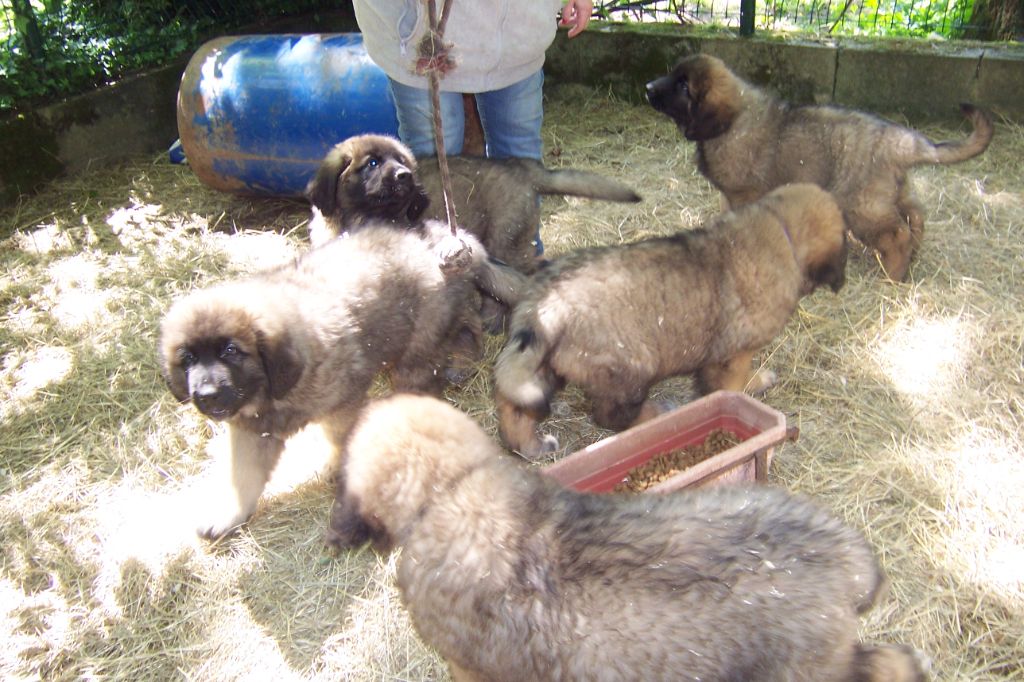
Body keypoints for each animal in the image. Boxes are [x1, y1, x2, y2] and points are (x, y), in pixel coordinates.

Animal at [491, 182, 843, 456]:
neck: (778, 227)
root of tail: (542, 302)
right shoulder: (735, 354)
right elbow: (733, 385)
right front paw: (750, 388)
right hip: (629, 367)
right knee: (611, 414)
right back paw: (655, 413)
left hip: (540, 361)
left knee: (514, 404)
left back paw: (527, 445)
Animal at [647, 49, 991, 278]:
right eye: (673, 75)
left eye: (683, 87)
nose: (648, 88)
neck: (732, 121)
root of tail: (899, 140)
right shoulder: (730, 194)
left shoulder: (742, 193)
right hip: (891, 192)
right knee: (916, 217)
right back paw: (910, 262)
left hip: (861, 205)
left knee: (897, 234)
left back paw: (893, 277)